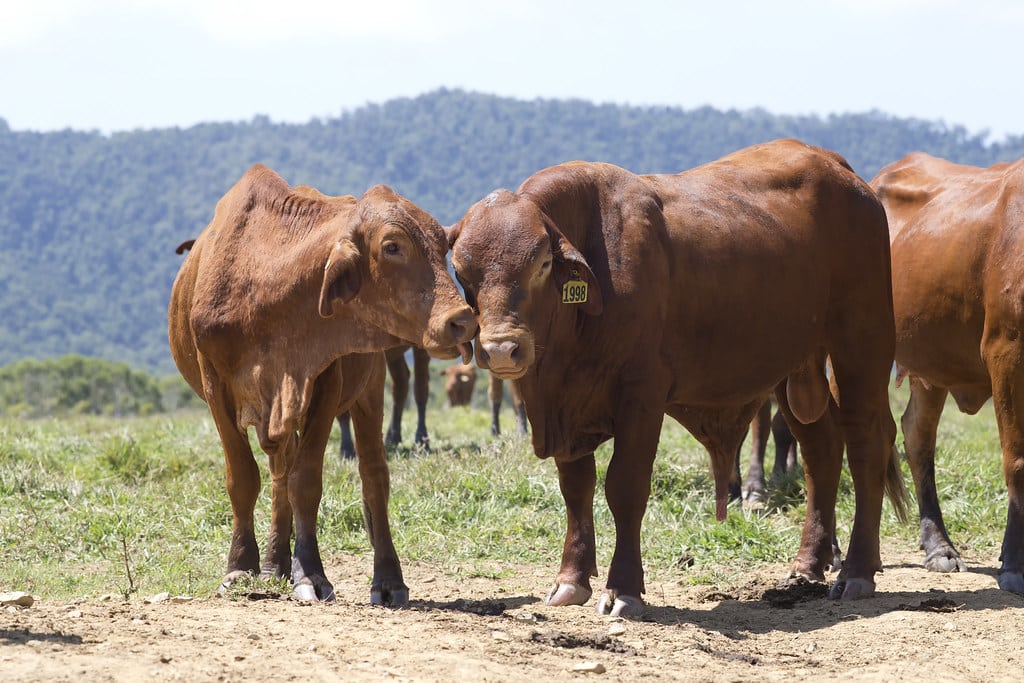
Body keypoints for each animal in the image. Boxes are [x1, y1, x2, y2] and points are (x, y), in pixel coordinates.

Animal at [168, 164, 476, 604]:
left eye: (442, 246)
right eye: (392, 246)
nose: (462, 321)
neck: (264, 285)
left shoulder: (325, 383)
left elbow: (306, 480)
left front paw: (310, 572)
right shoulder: (217, 389)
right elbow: (244, 478)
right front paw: (241, 566)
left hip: (369, 389)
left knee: (373, 475)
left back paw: (387, 579)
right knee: (278, 473)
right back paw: (275, 565)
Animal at [448, 139, 907, 617]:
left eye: (540, 264)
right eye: (462, 272)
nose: (502, 348)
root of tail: (840, 170)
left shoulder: (641, 396)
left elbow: (625, 486)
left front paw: (623, 588)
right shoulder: (567, 409)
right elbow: (576, 490)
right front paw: (570, 580)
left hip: (862, 346)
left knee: (866, 445)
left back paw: (856, 571)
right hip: (795, 365)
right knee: (822, 451)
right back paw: (807, 564)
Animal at [871, 152, 1024, 592]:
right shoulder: (1006, 349)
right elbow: (1017, 460)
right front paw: (1015, 565)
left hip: (931, 365)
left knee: (917, 436)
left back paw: (939, 546)